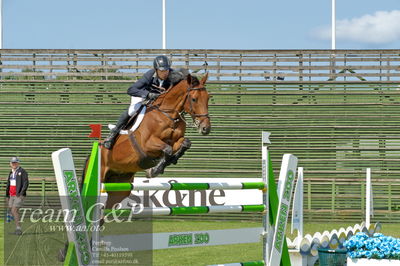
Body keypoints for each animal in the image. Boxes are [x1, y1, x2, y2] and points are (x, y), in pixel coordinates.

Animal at [99, 72, 209, 210]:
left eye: (208, 98)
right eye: (194, 99)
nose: (205, 128)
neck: (168, 115)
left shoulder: (175, 140)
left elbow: (184, 143)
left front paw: (171, 160)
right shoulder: (147, 144)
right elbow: (167, 149)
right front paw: (155, 170)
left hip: (120, 182)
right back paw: (109, 141)